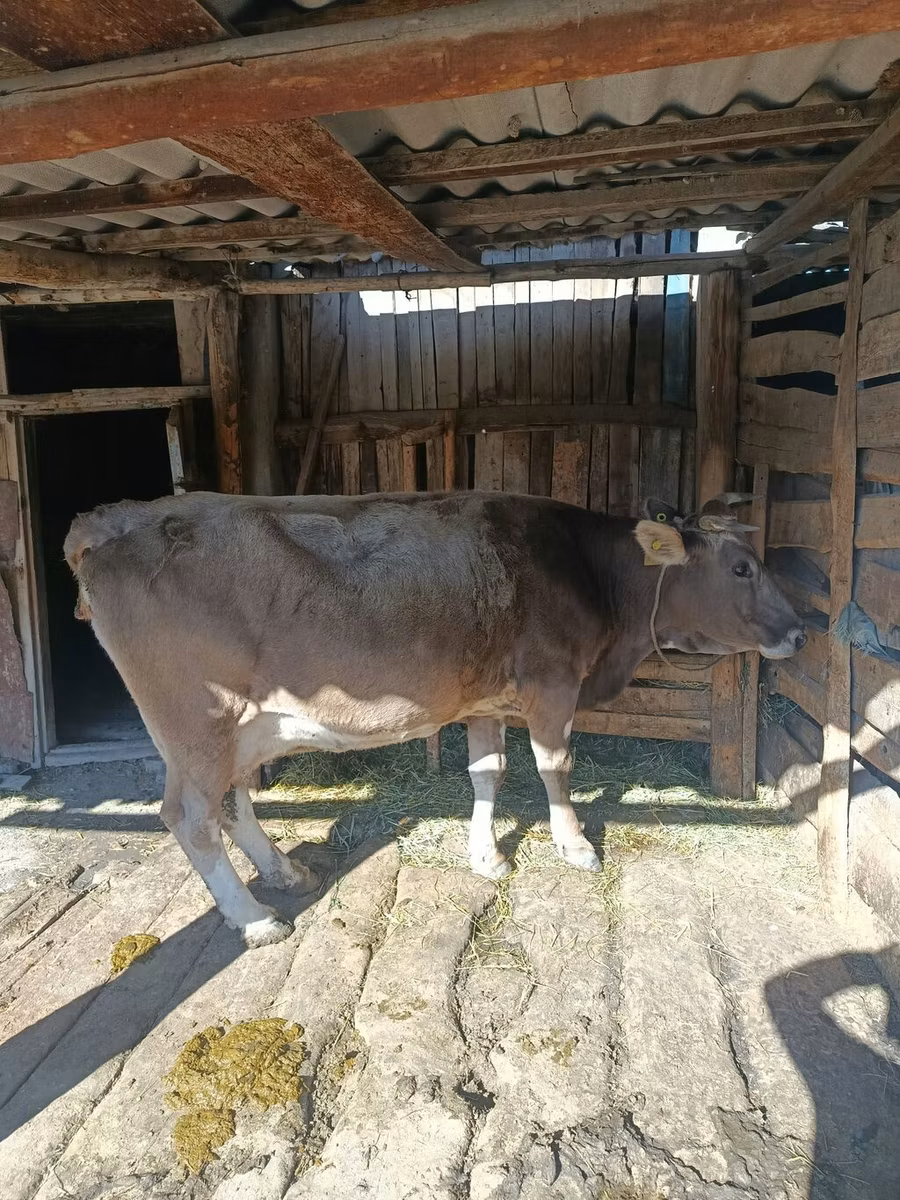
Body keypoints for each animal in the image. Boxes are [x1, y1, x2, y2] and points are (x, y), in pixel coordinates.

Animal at [65, 489, 804, 948]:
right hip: (200, 718)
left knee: (232, 801)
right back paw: (253, 918)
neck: (590, 571)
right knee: (189, 816)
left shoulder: (486, 698)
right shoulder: (552, 683)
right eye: (743, 568)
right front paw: (573, 845)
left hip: (242, 725)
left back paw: (283, 874)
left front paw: (486, 855)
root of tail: (112, 521)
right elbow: (555, 767)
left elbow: (488, 772)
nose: (801, 629)